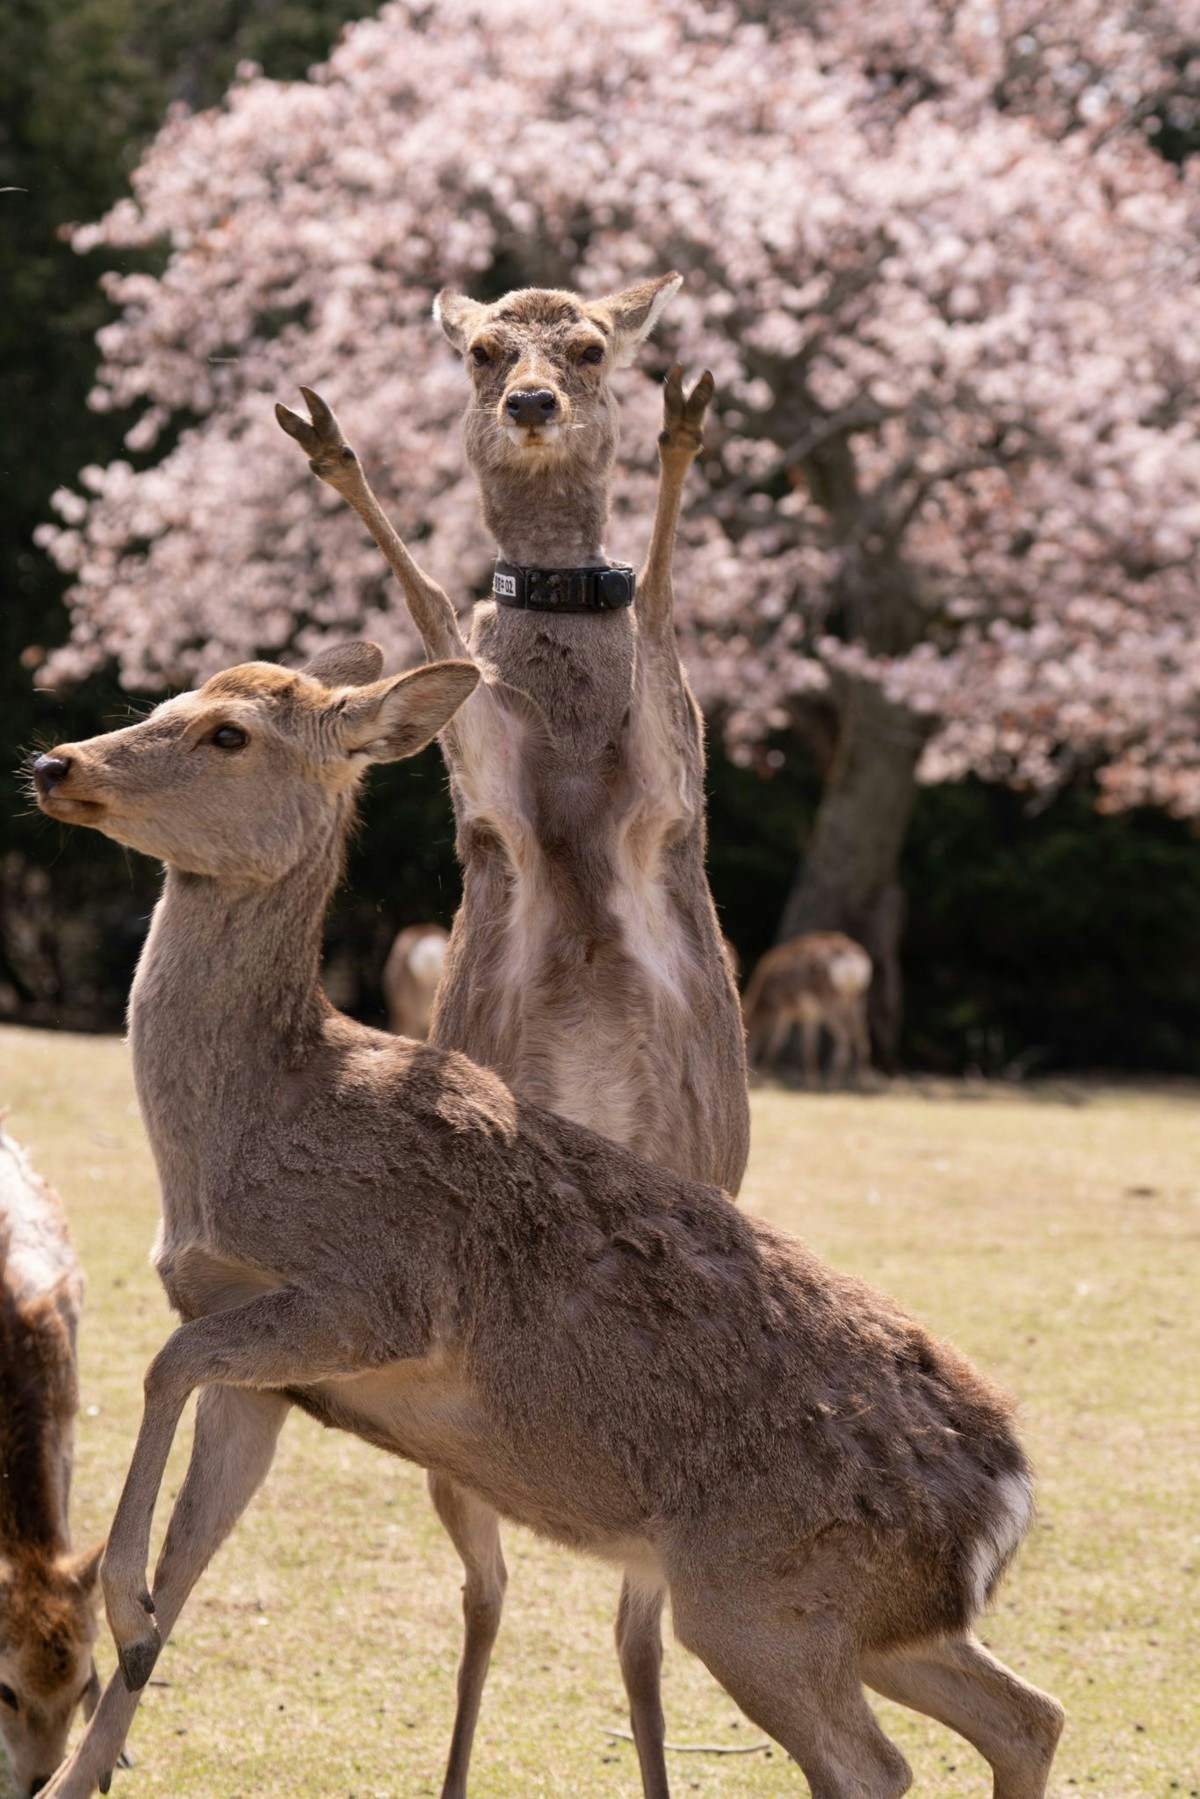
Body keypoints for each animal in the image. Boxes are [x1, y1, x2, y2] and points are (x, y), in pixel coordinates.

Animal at [275, 273, 751, 1797]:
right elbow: (434, 603)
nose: (534, 399)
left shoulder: (673, 771)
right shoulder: (480, 783)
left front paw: (689, 415)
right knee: (488, 1587)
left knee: (635, 1614)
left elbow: (657, 602)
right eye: (485, 350)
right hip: (450, 1421)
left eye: (591, 344)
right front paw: (324, 435)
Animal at [744, 932, 874, 1087]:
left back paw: (834, 1080)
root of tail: (852, 960)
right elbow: (809, 1046)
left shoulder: (783, 1007)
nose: (747, 1066)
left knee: (846, 1035)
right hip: (858, 997)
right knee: (861, 1033)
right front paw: (812, 1081)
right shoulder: (810, 1015)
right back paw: (864, 1079)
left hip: (829, 998)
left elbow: (777, 1041)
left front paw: (763, 1076)